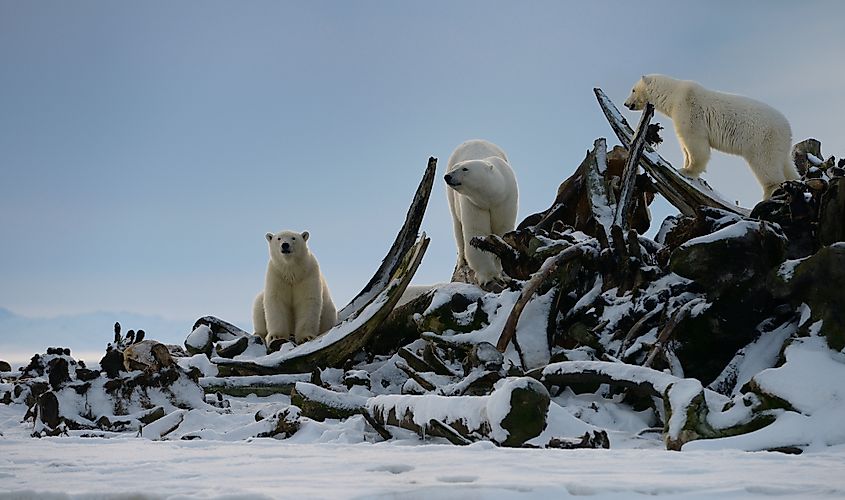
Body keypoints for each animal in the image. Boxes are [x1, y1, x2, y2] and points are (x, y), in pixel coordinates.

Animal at [446, 140, 516, 290]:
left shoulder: (506, 199)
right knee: (457, 226)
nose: (447, 176)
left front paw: (499, 271)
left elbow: (502, 230)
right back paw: (461, 262)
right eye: (455, 167)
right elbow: (476, 231)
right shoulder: (473, 203)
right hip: (452, 199)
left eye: (465, 169)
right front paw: (487, 277)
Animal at [624, 74, 796, 199]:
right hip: (779, 144)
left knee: (765, 163)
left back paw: (769, 192)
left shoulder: (689, 107)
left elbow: (695, 141)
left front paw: (687, 171)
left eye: (633, 90)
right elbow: (685, 145)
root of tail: (788, 128)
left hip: (763, 139)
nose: (626, 104)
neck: (674, 94)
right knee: (785, 164)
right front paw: (685, 164)